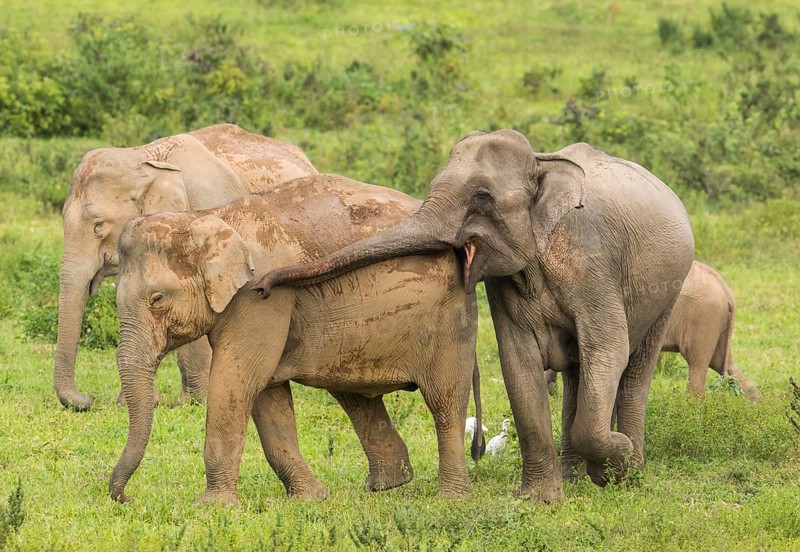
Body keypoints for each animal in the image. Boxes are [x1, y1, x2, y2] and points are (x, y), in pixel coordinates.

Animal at [109, 174, 479, 504]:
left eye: (157, 299)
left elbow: (236, 381)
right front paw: (310, 498)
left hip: (449, 318)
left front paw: (212, 507)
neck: (208, 217)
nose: (125, 497)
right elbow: (267, 394)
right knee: (353, 395)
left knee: (445, 402)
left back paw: (450, 498)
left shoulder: (260, 296)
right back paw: (387, 485)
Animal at [253, 130, 695, 501]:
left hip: (668, 288)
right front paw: (540, 500)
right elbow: (518, 363)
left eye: (482, 197)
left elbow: (607, 350)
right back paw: (576, 477)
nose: (263, 286)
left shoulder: (592, 264)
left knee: (633, 370)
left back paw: (630, 471)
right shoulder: (505, 286)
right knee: (576, 373)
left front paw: (612, 467)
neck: (541, 165)